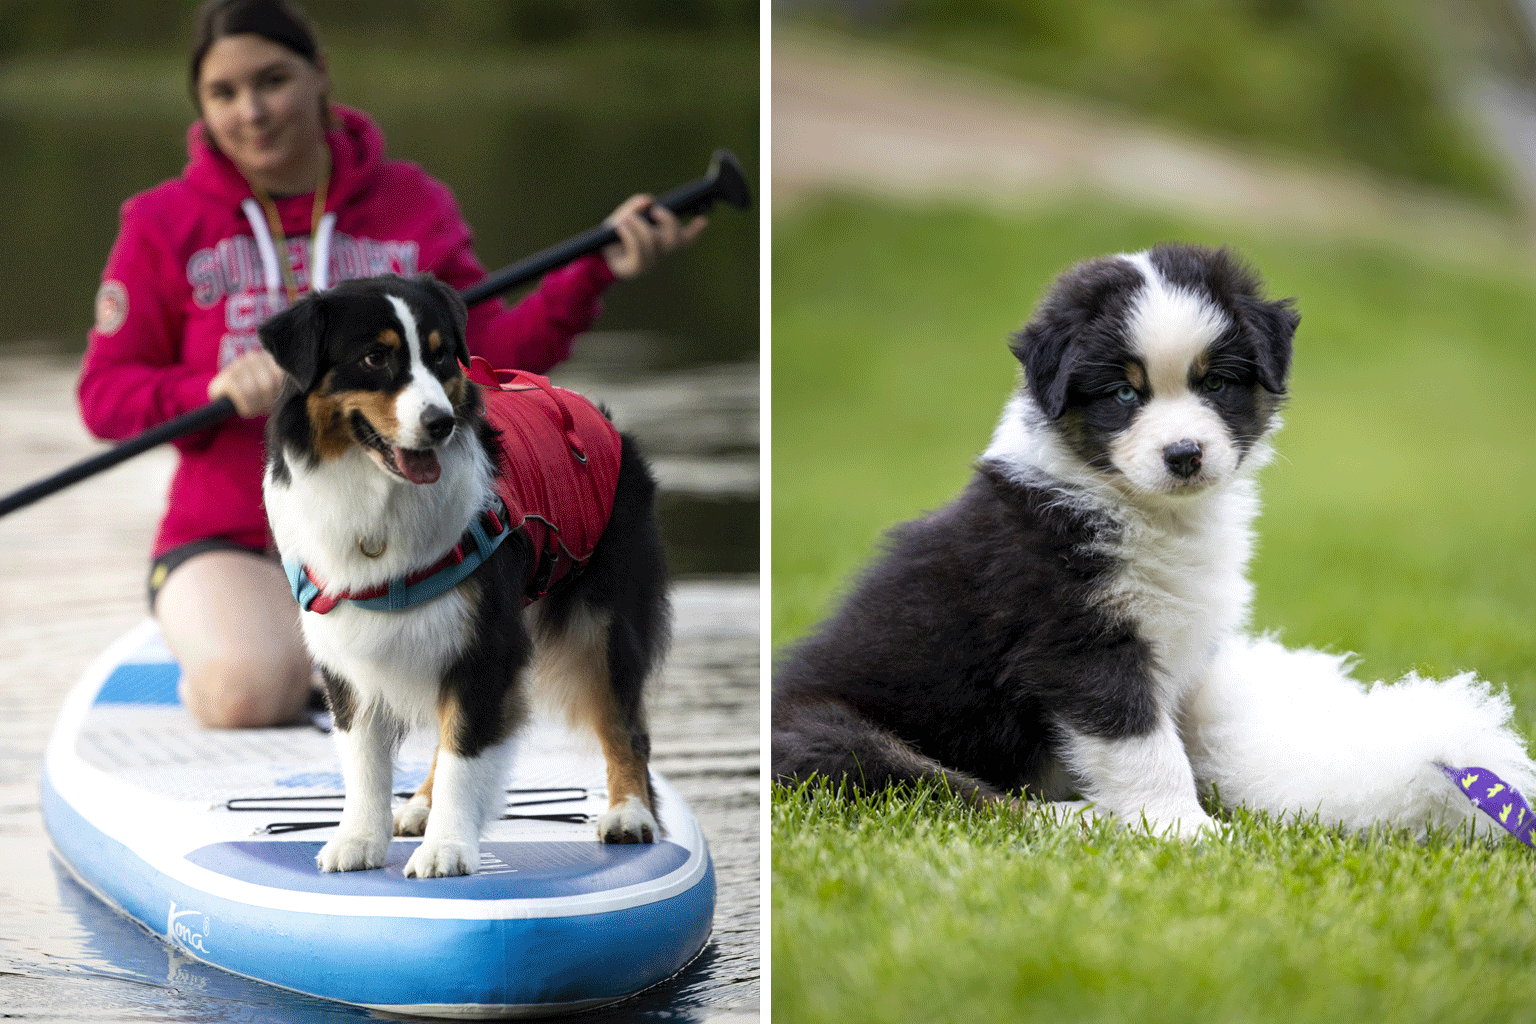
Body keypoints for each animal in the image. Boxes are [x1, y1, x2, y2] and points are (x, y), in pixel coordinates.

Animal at [258, 276, 666, 878]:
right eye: (375, 357)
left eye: (439, 355)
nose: (441, 423)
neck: (380, 504)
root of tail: (597, 414)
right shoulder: (347, 652)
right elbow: (363, 759)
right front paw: (359, 838)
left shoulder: (486, 643)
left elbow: (465, 750)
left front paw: (447, 848)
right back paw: (420, 805)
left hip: (602, 621)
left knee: (623, 721)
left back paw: (629, 813)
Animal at [774, 244, 1536, 847]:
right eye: (1120, 393)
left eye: (1216, 383)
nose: (1184, 454)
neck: (1153, 514)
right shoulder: (1077, 640)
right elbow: (1145, 746)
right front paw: (1184, 829)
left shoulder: (1185, 642)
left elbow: (1207, 724)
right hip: (832, 734)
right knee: (959, 795)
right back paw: (1082, 819)